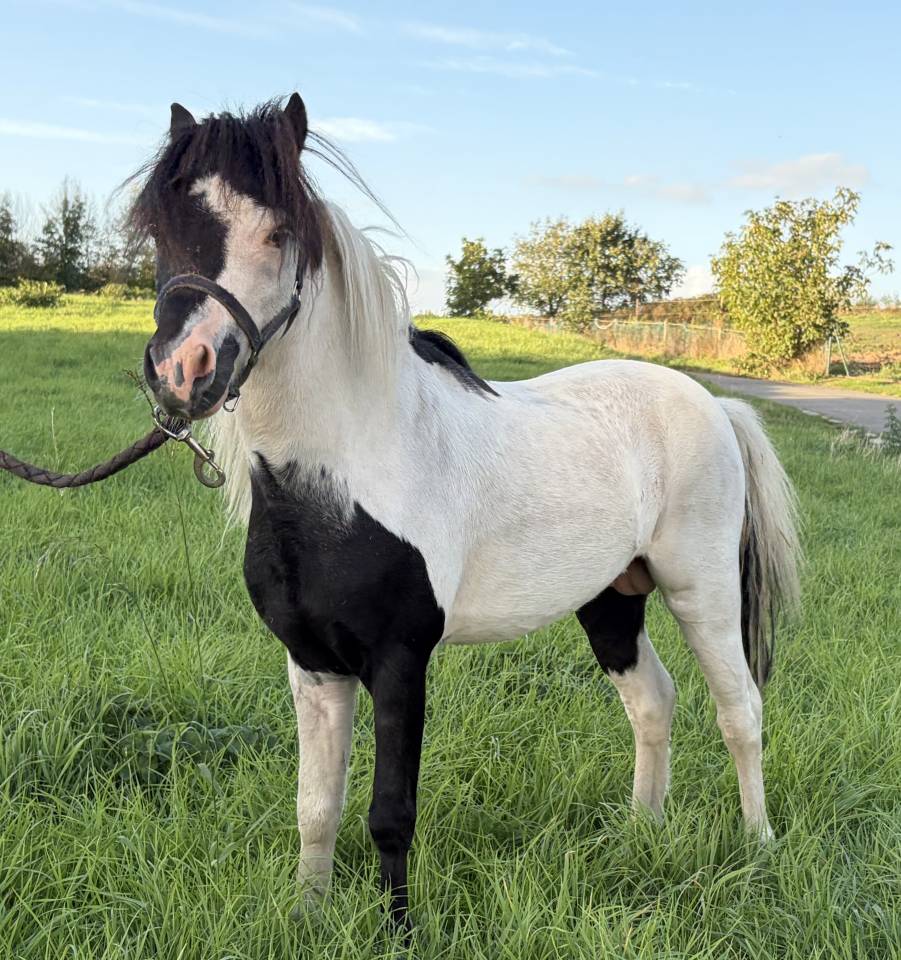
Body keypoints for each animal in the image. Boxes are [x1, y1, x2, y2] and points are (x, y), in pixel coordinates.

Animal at [132, 93, 801, 925]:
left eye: (279, 233)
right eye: (160, 229)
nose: (182, 372)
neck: (350, 473)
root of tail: (712, 402)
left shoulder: (399, 660)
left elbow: (390, 813)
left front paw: (398, 929)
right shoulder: (313, 663)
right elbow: (316, 806)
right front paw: (309, 916)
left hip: (700, 590)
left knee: (739, 710)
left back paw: (758, 845)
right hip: (610, 599)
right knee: (653, 702)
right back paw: (641, 835)